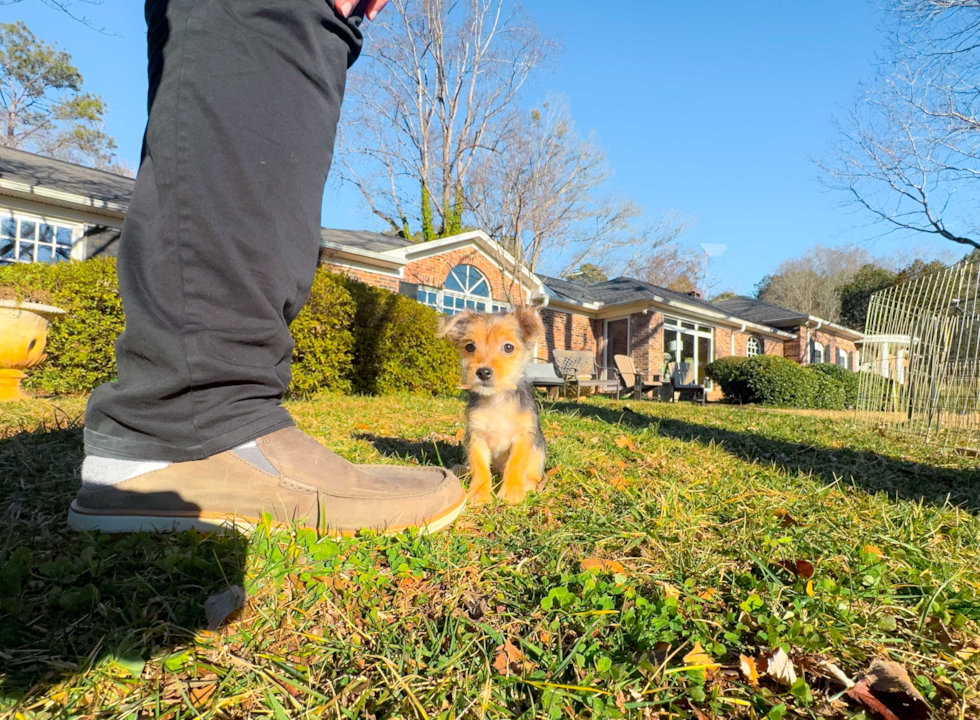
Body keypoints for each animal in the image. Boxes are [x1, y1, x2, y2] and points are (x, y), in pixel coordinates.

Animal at [438, 306, 548, 504]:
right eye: (470, 346)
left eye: (508, 347)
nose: (483, 372)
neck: (497, 399)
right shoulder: (476, 437)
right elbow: (480, 468)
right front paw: (479, 492)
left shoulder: (523, 436)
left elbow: (515, 464)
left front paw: (512, 491)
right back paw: (462, 470)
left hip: (539, 449)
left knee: (533, 471)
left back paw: (528, 483)